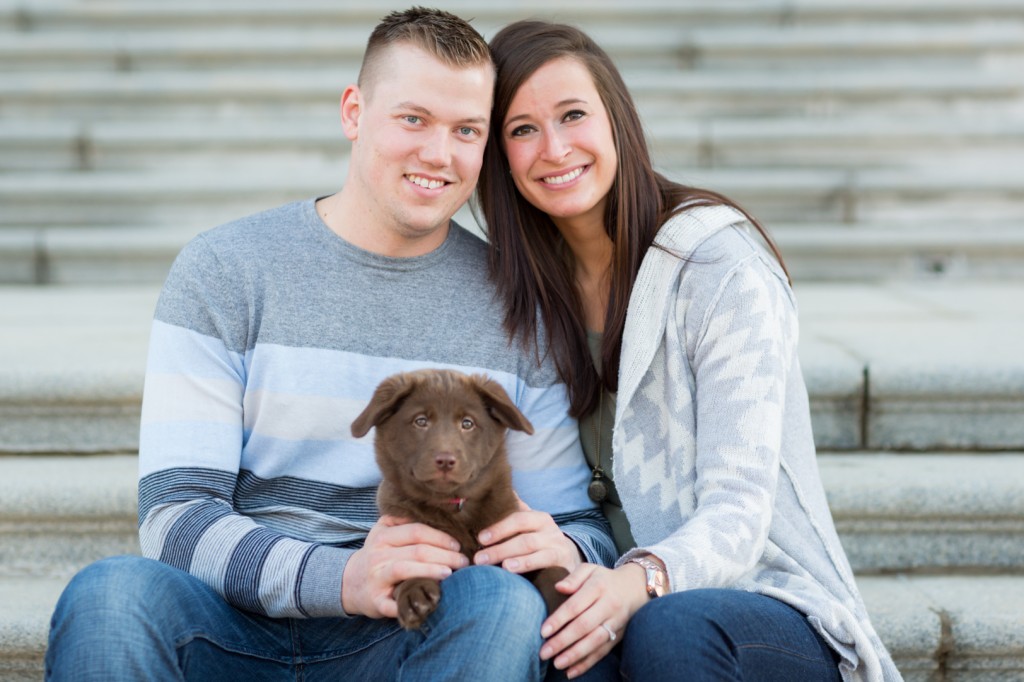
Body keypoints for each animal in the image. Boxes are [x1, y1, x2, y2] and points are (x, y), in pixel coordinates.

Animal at [352, 368, 569, 630]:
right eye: (420, 421)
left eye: (467, 423)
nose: (445, 460)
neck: (455, 505)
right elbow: (405, 562)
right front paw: (414, 590)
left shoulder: (515, 546)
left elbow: (551, 569)